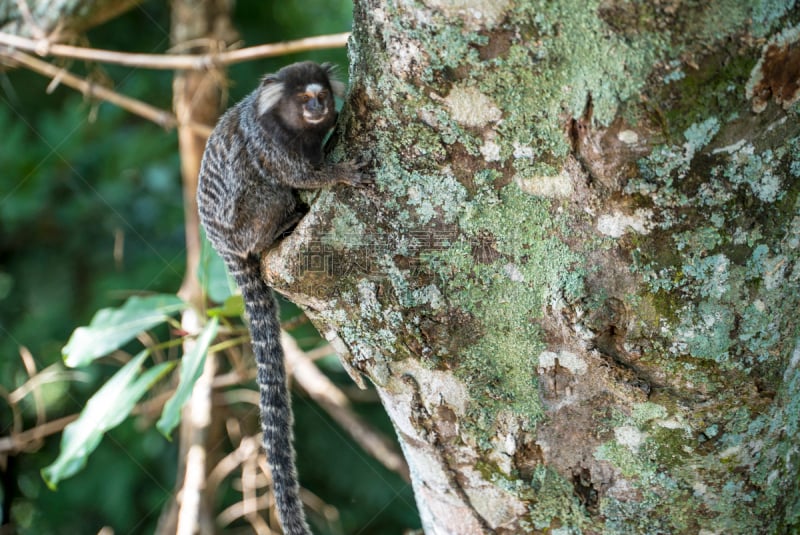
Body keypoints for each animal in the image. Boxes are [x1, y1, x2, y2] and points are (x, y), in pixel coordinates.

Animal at [197, 60, 366, 532]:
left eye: (321, 95)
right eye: (304, 99)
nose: (318, 108)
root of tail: (227, 250)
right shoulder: (269, 144)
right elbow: (293, 173)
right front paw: (337, 175)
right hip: (246, 220)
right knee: (267, 188)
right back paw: (286, 221)